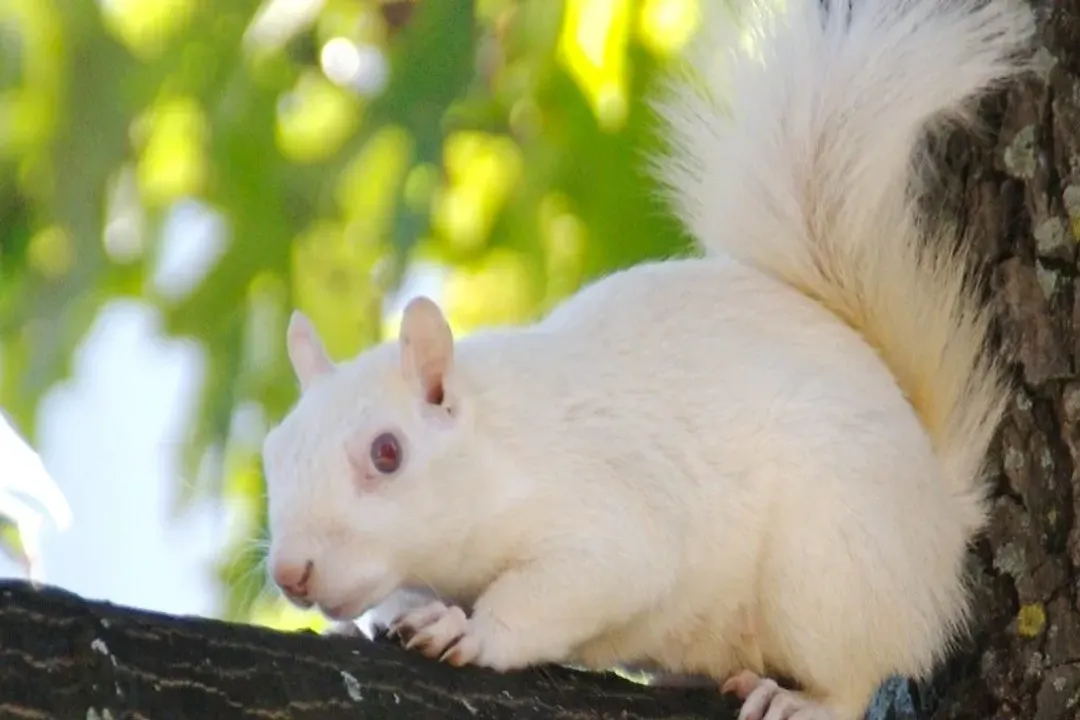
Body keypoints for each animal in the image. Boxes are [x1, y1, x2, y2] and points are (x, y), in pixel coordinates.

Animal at [260, 0, 1035, 718]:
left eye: (388, 453)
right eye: (272, 454)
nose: (291, 573)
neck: (496, 449)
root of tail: (939, 510)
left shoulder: (605, 510)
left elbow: (587, 578)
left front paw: (470, 632)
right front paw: (388, 617)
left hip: (831, 566)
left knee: (860, 670)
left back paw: (803, 699)